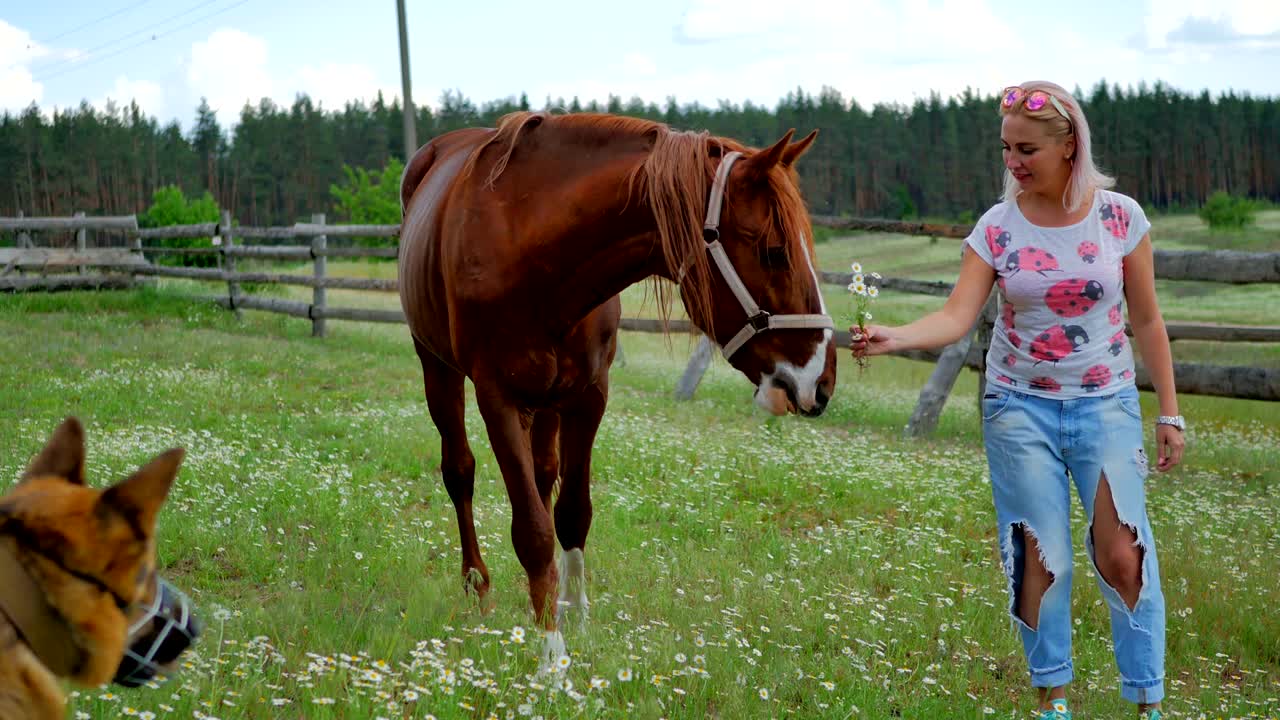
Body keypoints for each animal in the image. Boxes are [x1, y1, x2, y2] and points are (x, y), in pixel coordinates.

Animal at [398, 111, 837, 667]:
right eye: (775, 252)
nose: (822, 381)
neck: (531, 247)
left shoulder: (588, 396)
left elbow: (570, 513)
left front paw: (574, 617)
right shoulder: (497, 398)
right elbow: (534, 531)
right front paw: (551, 657)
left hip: (548, 402)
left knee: (543, 476)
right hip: (437, 367)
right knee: (460, 472)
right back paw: (478, 585)